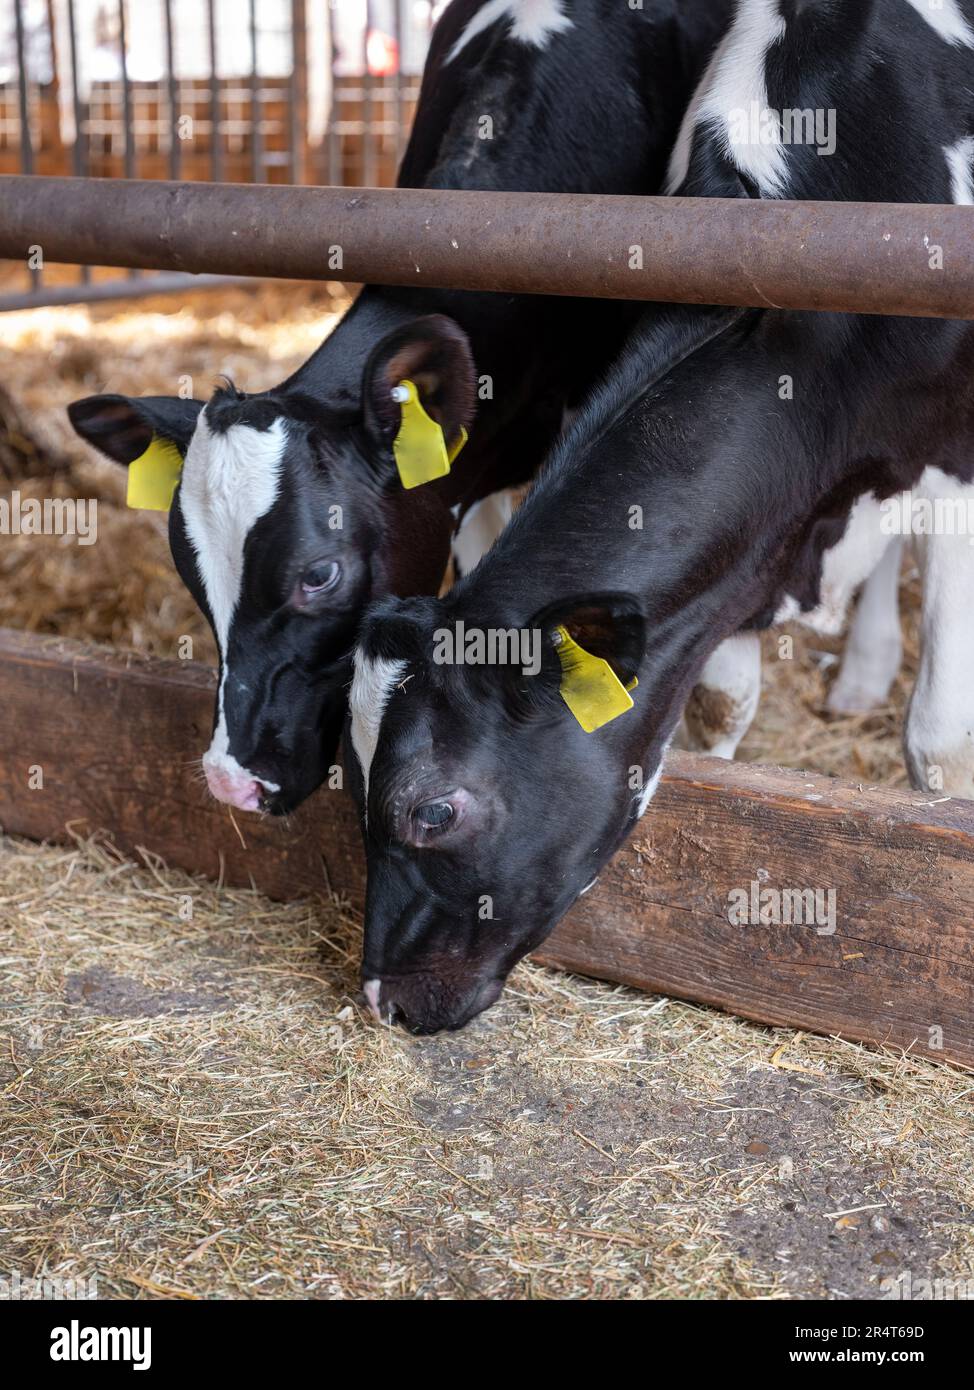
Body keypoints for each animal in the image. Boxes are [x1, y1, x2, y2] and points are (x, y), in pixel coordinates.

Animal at [348, 0, 974, 1033]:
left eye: (431, 811)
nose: (381, 999)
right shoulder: (751, 546)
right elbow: (722, 698)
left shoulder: (957, 467)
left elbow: (939, 743)